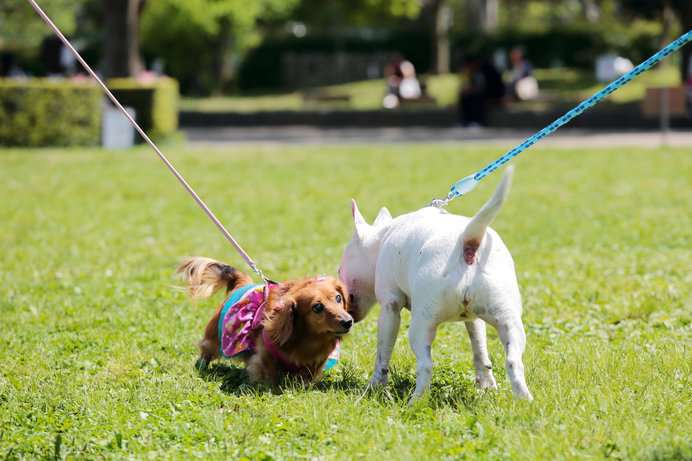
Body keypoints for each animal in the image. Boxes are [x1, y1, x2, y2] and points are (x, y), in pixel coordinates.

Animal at [178, 255, 354, 384]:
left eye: (338, 298)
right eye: (317, 307)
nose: (348, 322)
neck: (308, 340)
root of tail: (243, 283)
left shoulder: (317, 361)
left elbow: (307, 375)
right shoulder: (264, 353)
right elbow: (270, 371)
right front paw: (271, 387)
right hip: (214, 337)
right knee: (206, 350)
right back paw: (201, 366)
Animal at [338, 166, 532, 402]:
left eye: (340, 270)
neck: (383, 237)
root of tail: (467, 243)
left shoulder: (390, 306)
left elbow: (383, 353)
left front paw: (375, 386)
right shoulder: (474, 319)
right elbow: (480, 349)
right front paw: (486, 384)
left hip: (421, 325)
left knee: (425, 365)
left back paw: (416, 402)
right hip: (508, 320)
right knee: (514, 361)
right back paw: (525, 401)